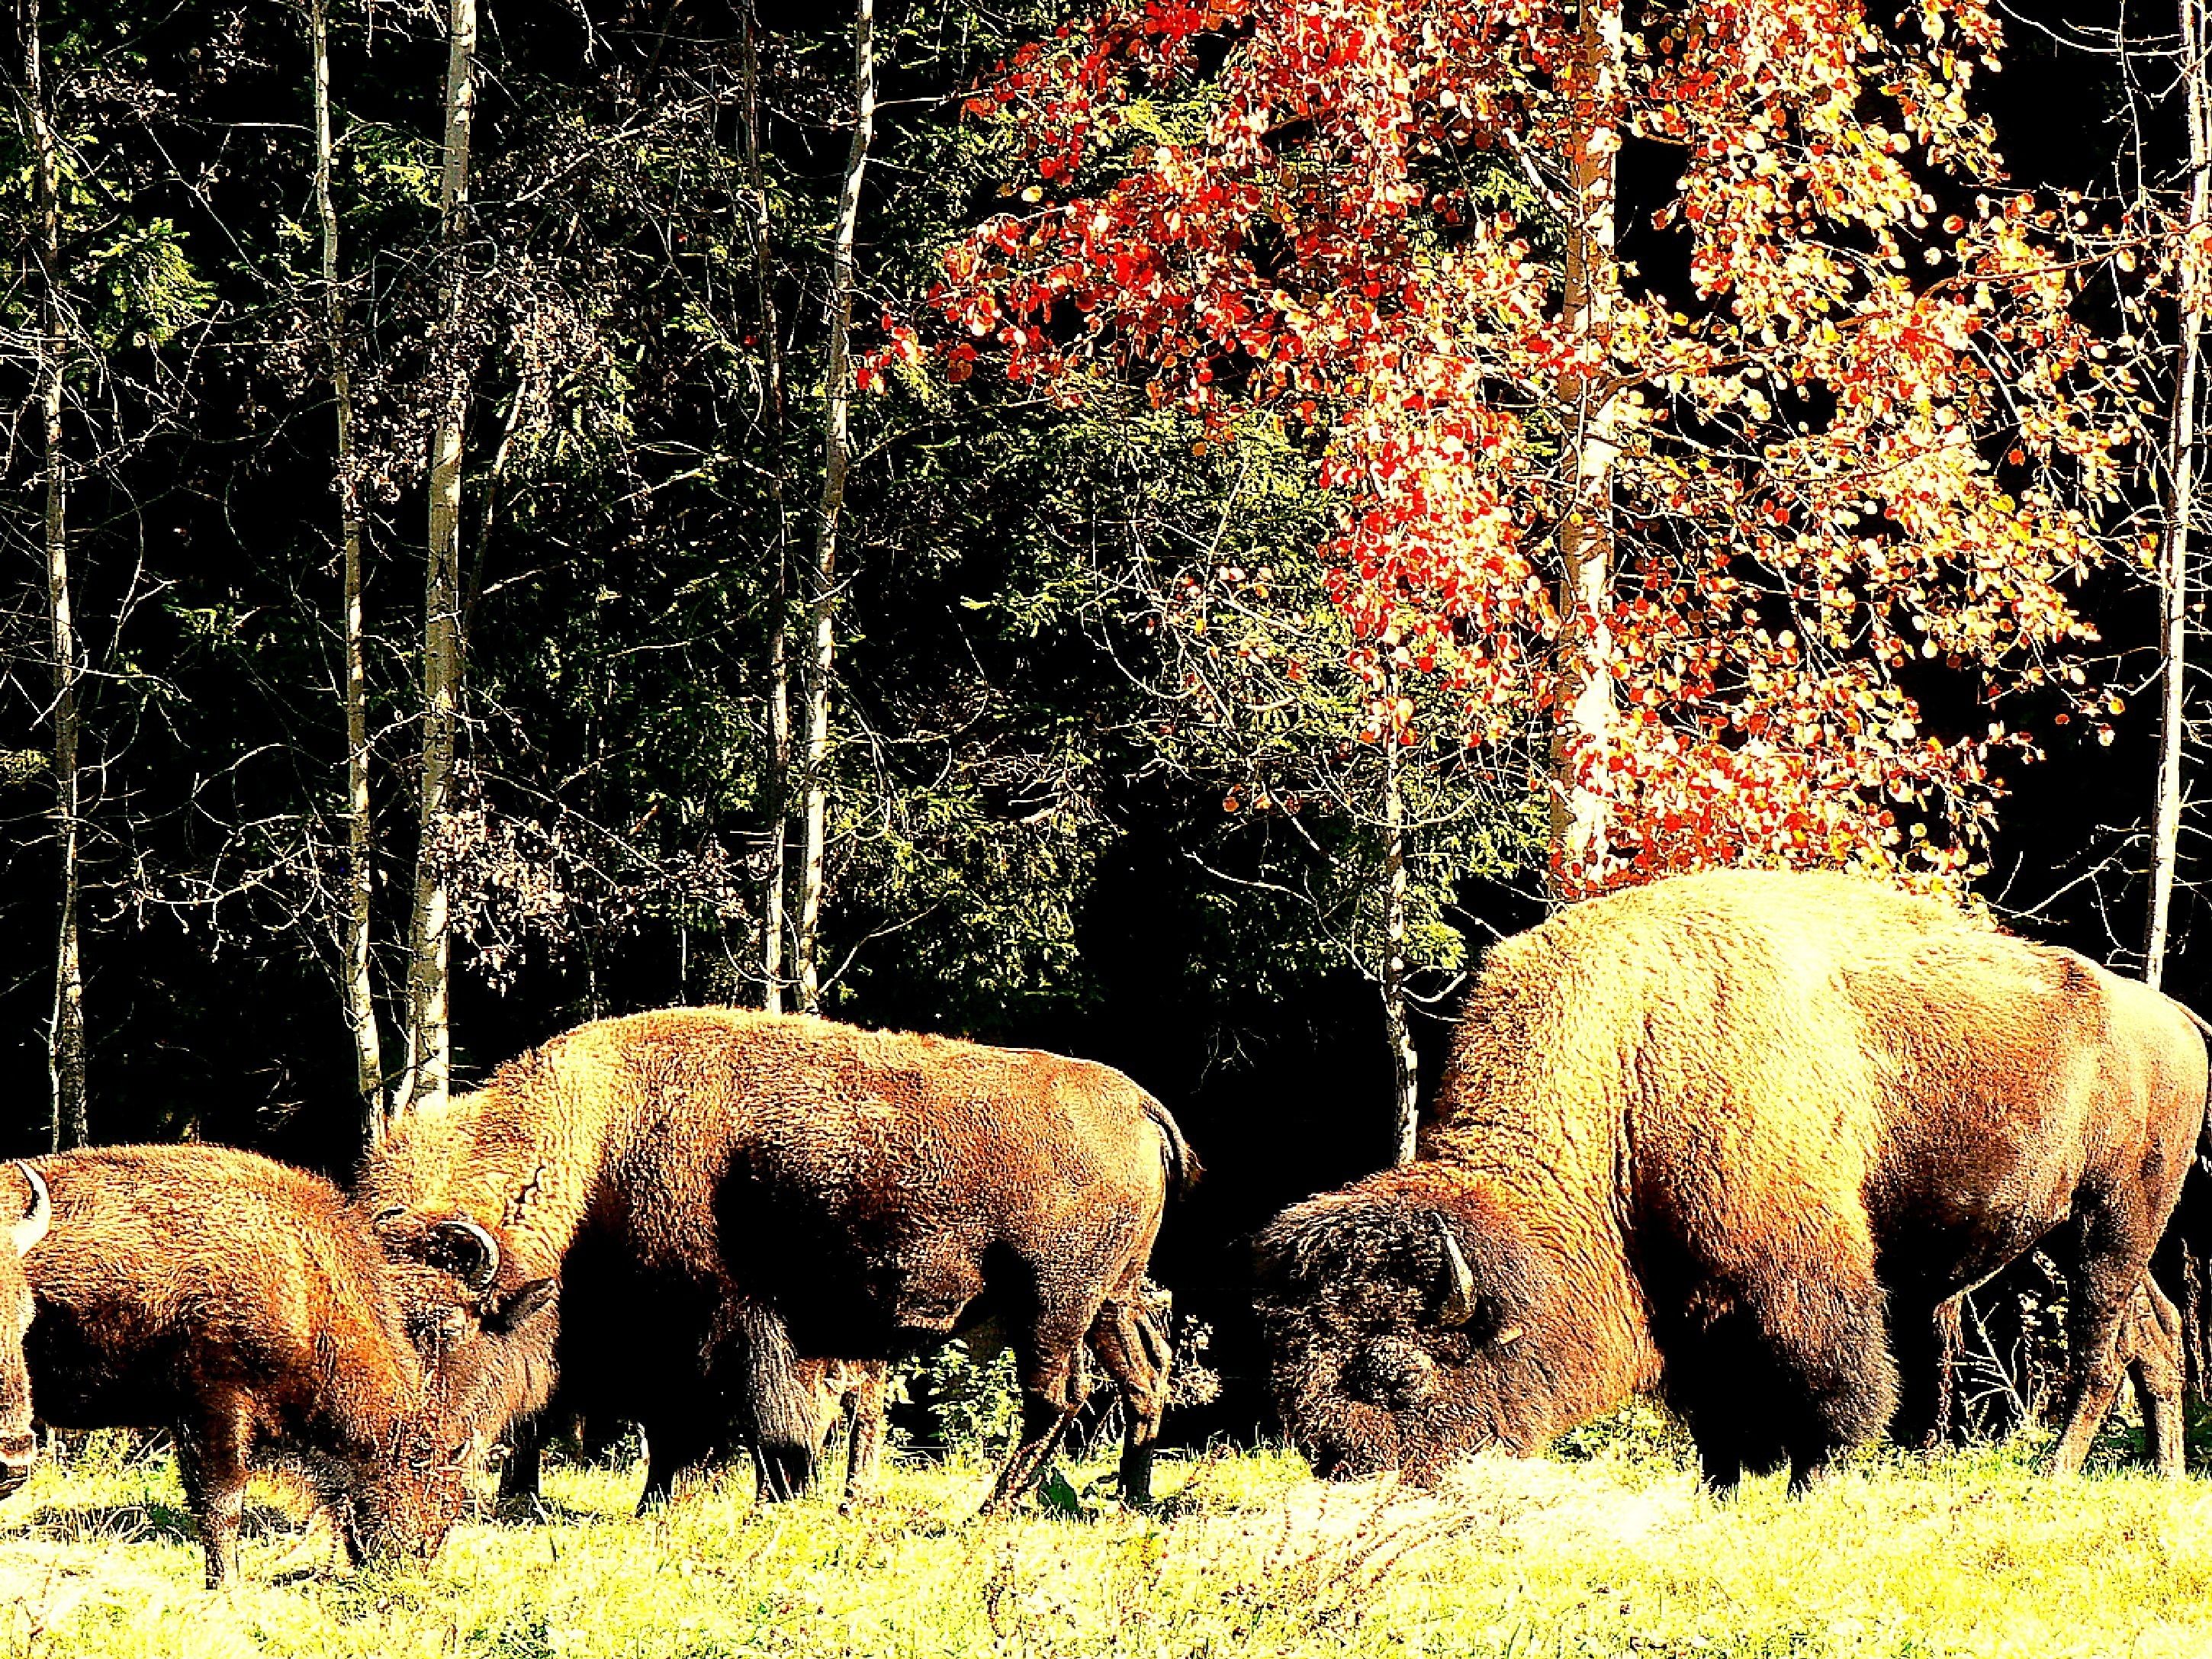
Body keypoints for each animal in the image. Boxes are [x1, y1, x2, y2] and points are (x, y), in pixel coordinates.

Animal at [23, 1145, 552, 1585]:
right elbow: (221, 1505)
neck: (308, 1289)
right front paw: (228, 1585)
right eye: (425, 1465)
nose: (418, 1557)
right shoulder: (214, 1410)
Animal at [357, 1009, 1192, 1511]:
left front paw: (707, 1503)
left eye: (442, 1327)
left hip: (1053, 1307)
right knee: (1143, 1377)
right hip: (1110, 1300)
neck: (599, 1140)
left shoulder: (722, 1325)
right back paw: (1131, 1495)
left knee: (1059, 1397)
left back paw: (992, 1509)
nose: (406, 1440)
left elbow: (731, 1424)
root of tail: (1137, 1103)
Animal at [1255, 869, 2210, 1491]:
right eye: (1295, 1386)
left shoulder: (1797, 1275)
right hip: (2089, 1233)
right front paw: (1723, 1488)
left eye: (1397, 1376)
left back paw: (2052, 1475)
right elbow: (1715, 1413)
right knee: (2154, 1333)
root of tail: (2171, 1016)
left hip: (2110, 1222)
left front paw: (1811, 1484)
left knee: (2097, 1350)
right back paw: (2163, 1480)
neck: (1628, 1058)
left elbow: (1837, 1391)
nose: (1358, 1485)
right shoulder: (1685, 1303)